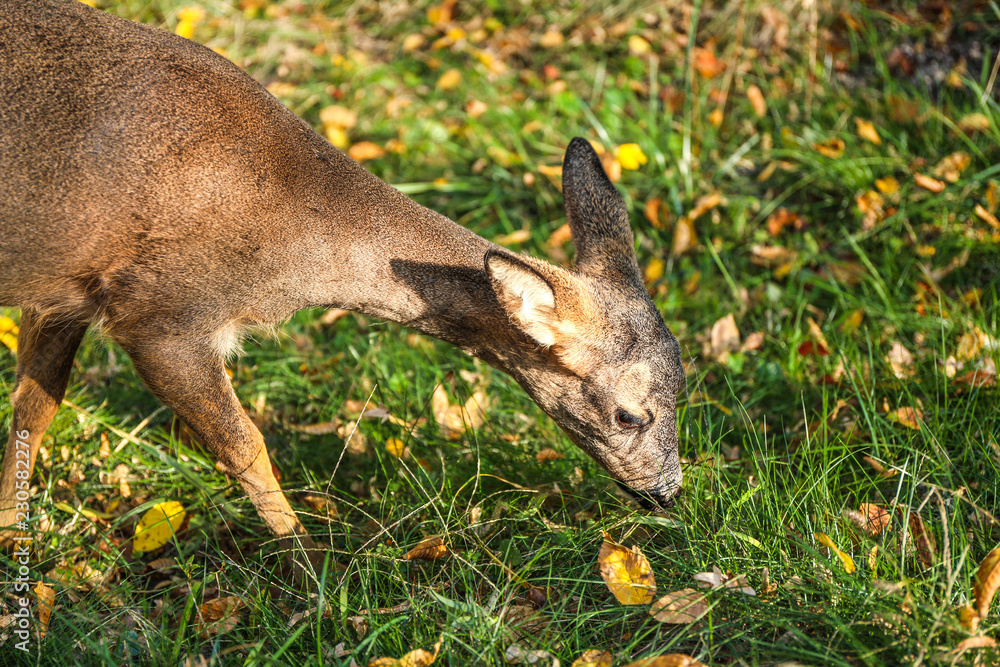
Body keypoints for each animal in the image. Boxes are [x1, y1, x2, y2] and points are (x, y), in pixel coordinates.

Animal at [0, 0, 688, 580]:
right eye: (630, 414)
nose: (668, 492)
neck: (291, 241)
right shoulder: (159, 315)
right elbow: (245, 445)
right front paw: (313, 574)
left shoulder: (63, 290)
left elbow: (34, 409)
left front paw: (12, 540)